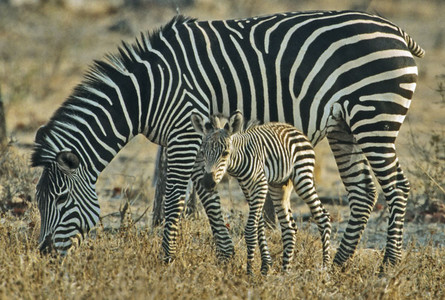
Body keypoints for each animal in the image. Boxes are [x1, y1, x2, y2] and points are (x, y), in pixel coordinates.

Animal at [191, 111, 330, 274]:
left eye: (225, 153)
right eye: (202, 152)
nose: (207, 183)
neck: (241, 158)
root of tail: (295, 130)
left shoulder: (260, 185)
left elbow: (251, 229)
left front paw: (250, 270)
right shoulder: (247, 188)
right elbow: (259, 226)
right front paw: (263, 267)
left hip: (302, 177)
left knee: (323, 217)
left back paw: (326, 268)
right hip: (279, 186)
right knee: (289, 227)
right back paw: (285, 271)